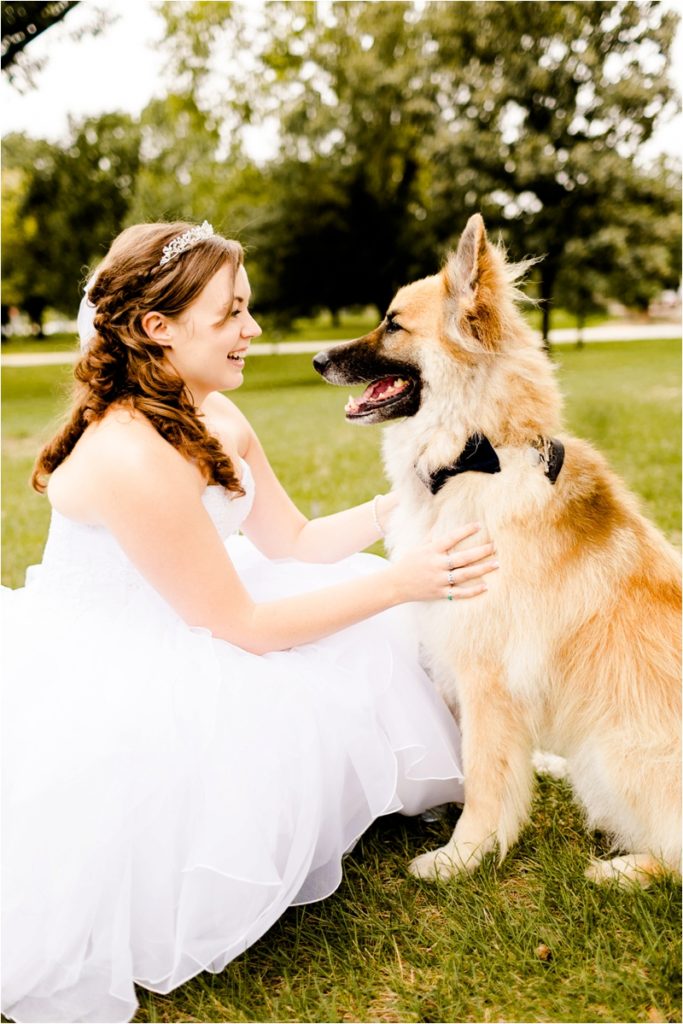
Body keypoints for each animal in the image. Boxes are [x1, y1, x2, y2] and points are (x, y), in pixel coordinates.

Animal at [315, 211, 683, 884]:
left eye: (393, 323)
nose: (317, 359)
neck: (478, 454)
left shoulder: (487, 674)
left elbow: (485, 773)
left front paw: (463, 856)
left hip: (613, 750)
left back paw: (621, 870)